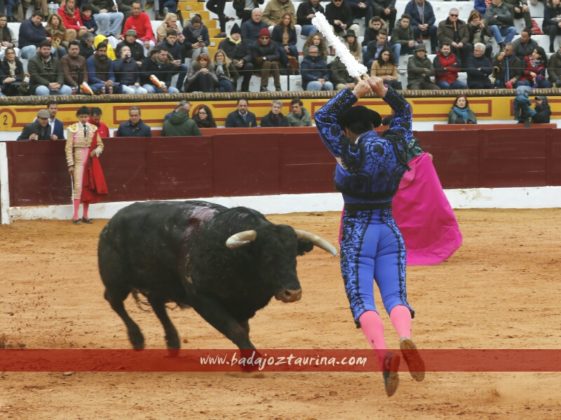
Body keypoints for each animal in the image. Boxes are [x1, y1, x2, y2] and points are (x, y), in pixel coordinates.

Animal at [97, 200, 336, 352]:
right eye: (268, 256)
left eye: (294, 256)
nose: (292, 293)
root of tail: (111, 224)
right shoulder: (203, 298)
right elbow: (236, 330)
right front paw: (253, 362)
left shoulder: (241, 303)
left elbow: (243, 330)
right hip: (116, 280)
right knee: (114, 301)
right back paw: (137, 339)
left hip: (160, 281)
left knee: (156, 304)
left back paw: (173, 342)